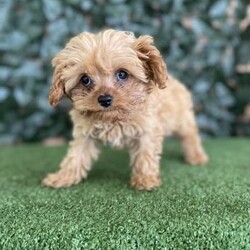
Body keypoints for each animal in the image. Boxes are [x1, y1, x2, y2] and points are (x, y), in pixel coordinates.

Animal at [42, 28, 208, 189]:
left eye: (122, 74)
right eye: (85, 79)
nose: (105, 99)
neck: (114, 119)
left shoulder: (148, 128)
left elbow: (145, 153)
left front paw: (145, 179)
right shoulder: (84, 133)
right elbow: (76, 155)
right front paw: (63, 177)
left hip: (181, 119)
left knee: (190, 134)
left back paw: (196, 156)